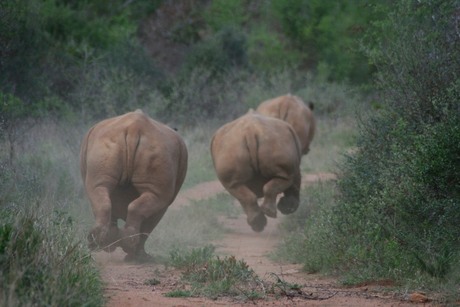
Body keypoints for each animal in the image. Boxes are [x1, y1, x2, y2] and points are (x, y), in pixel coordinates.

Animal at [80, 110, 188, 262]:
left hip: (107, 146)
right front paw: (140, 256)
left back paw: (99, 242)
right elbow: (148, 226)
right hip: (154, 150)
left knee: (99, 190)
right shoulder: (164, 204)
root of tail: (134, 129)